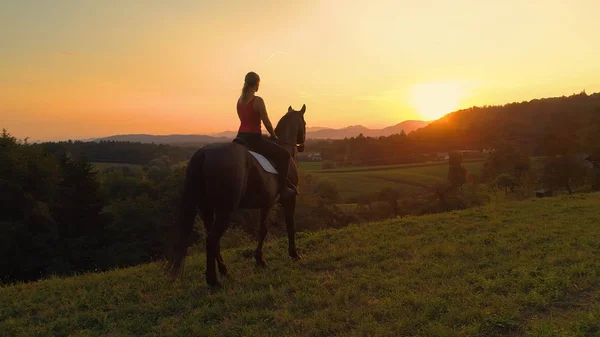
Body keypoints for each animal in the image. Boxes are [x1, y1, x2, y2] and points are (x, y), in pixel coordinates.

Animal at [164, 103, 308, 284]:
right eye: (305, 123)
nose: (302, 146)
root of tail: (204, 153)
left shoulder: (266, 203)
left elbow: (262, 229)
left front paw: (260, 260)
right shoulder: (289, 200)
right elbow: (290, 224)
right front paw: (294, 254)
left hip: (207, 207)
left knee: (212, 237)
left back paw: (223, 270)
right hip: (225, 209)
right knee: (212, 239)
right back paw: (213, 281)